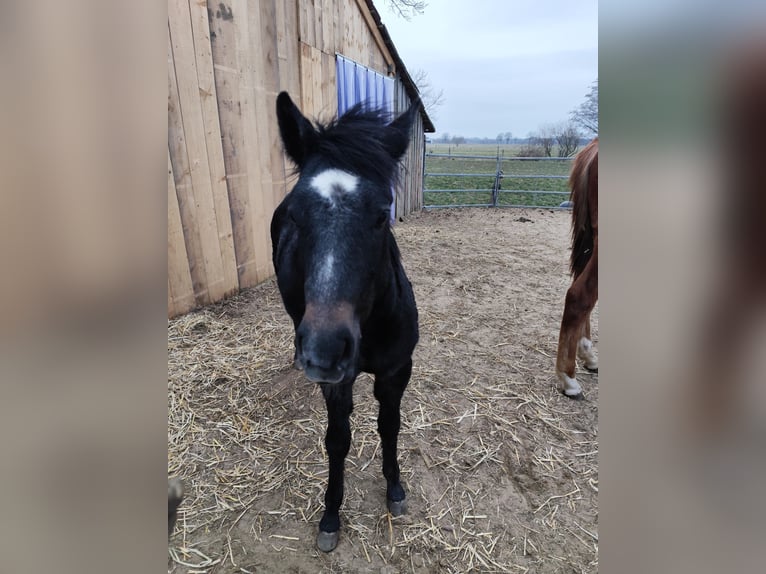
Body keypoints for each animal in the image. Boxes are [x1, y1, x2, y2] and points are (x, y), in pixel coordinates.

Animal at [272, 93, 420, 552]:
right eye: (296, 215)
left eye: (382, 214)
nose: (323, 351)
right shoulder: (337, 383)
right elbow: (337, 440)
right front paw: (331, 516)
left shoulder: (397, 369)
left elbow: (389, 425)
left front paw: (395, 491)